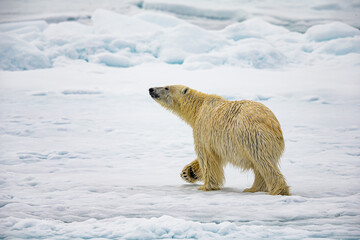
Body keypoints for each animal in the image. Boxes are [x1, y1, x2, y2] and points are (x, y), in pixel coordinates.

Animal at [149, 84, 290, 195]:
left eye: (166, 87)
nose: (151, 89)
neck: (198, 107)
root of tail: (273, 123)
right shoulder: (220, 141)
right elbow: (216, 157)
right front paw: (188, 172)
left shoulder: (204, 130)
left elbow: (206, 156)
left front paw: (206, 186)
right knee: (259, 166)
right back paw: (253, 188)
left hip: (252, 136)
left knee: (263, 161)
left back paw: (277, 189)